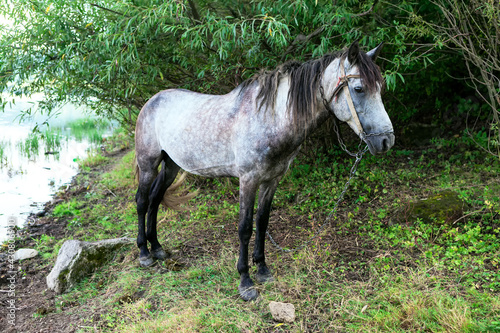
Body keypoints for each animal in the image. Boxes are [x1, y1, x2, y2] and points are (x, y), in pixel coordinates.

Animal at [136, 40, 394, 298]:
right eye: (359, 89)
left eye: (380, 87)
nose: (386, 141)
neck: (269, 118)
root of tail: (151, 101)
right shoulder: (248, 180)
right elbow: (244, 228)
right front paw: (245, 281)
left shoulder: (272, 180)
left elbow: (262, 221)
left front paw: (262, 269)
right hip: (148, 164)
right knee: (142, 201)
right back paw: (144, 253)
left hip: (170, 165)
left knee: (155, 198)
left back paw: (157, 248)